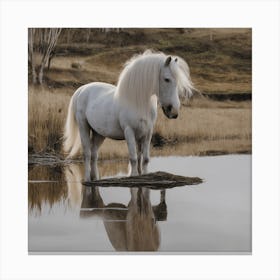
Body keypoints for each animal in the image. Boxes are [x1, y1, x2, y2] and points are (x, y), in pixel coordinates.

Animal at [64, 49, 192, 182]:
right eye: (167, 79)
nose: (174, 111)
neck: (138, 103)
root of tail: (82, 89)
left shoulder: (147, 133)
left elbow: (144, 158)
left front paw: (144, 175)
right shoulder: (129, 131)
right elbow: (134, 158)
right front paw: (134, 175)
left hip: (99, 133)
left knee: (94, 154)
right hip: (83, 126)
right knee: (87, 153)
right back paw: (88, 179)